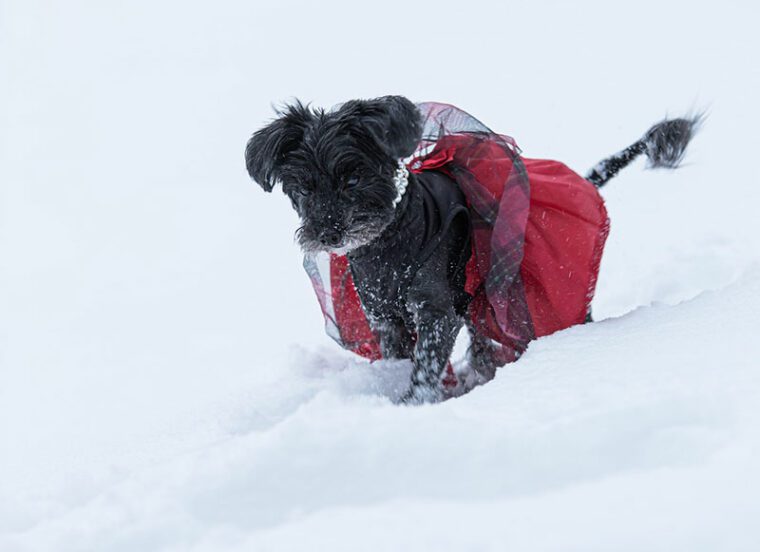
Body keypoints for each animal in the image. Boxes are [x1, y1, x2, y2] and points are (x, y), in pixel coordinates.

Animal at [245, 97, 700, 404]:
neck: (390, 241)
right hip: (481, 302)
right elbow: (402, 357)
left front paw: (413, 405)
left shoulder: (434, 311)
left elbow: (426, 364)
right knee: (483, 344)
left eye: (353, 179)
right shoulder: (386, 318)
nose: (328, 233)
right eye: (304, 189)